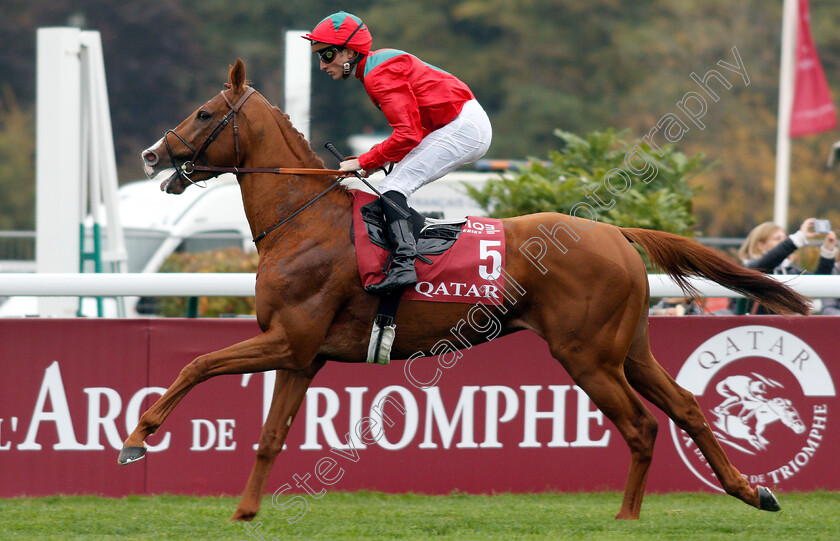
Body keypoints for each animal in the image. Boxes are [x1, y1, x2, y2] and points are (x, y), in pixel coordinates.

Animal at [123, 61, 808, 520]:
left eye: (204, 113)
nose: (152, 154)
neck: (303, 220)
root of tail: (616, 231)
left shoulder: (288, 338)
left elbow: (196, 364)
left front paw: (136, 438)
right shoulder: (301, 355)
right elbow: (268, 436)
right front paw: (244, 512)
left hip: (587, 355)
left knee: (641, 427)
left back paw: (626, 519)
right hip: (629, 350)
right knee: (688, 408)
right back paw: (752, 491)